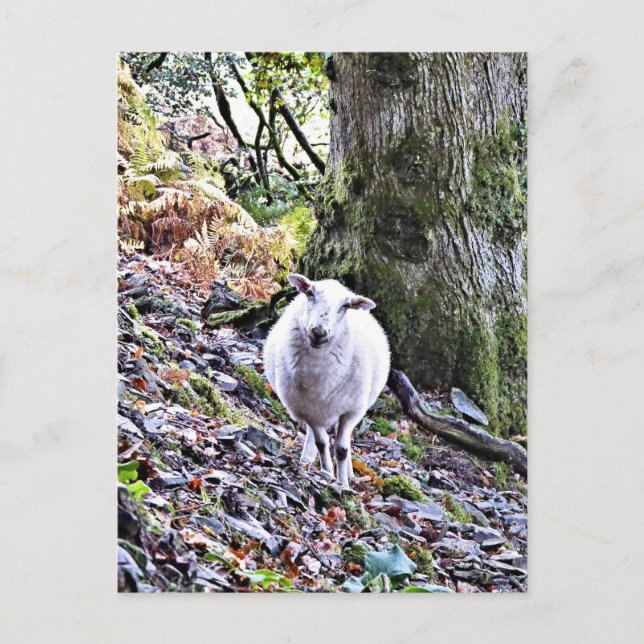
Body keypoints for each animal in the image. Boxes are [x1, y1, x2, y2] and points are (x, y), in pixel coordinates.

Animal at [263, 273, 390, 489]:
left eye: (345, 306)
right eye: (310, 294)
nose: (319, 332)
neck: (321, 381)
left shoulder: (351, 411)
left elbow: (342, 449)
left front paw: (343, 483)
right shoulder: (308, 411)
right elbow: (321, 443)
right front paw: (327, 473)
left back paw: (349, 473)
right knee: (312, 437)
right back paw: (306, 460)